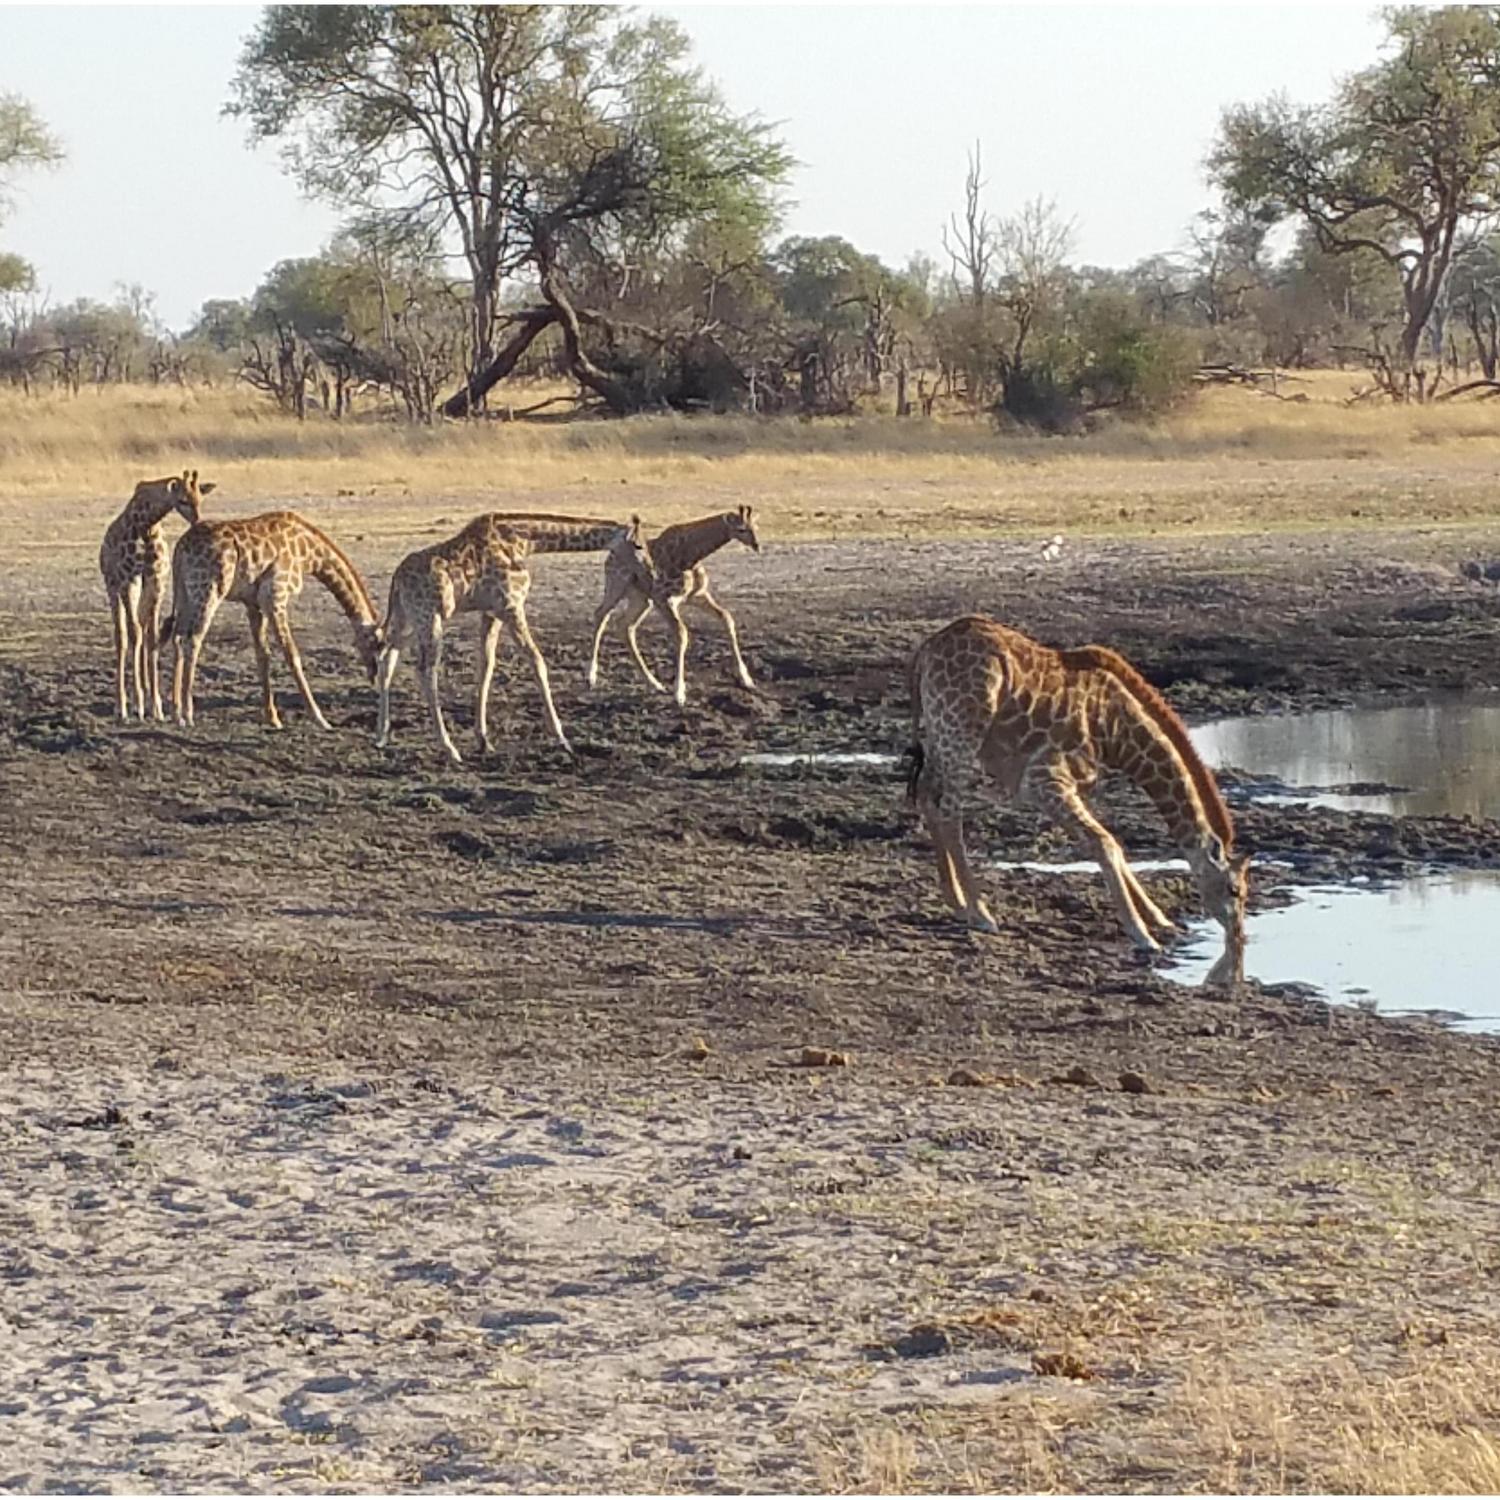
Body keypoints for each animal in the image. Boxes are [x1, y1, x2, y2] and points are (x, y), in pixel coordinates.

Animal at [98, 470, 215, 722]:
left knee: (142, 629)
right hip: (112, 586)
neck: (147, 524)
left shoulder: (156, 581)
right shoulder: (128, 580)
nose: (198, 521)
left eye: (200, 498)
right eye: (182, 500)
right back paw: (121, 706)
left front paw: (156, 707)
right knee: (122, 635)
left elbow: (150, 638)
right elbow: (133, 633)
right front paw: (139, 705)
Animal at [165, 511, 381, 730]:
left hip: (184, 593)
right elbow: (292, 655)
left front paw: (273, 718)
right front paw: (319, 718)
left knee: (178, 638)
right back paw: (188, 714)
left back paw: (176, 713)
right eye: (377, 645)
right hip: (209, 590)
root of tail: (181, 547)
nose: (376, 677)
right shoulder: (275, 596)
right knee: (194, 640)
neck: (308, 552)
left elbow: (263, 655)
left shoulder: (253, 604)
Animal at [375, 512, 644, 764]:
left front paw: (483, 739)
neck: (523, 542)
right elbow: (537, 661)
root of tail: (396, 579)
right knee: (425, 671)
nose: (647, 569)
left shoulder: (492, 612)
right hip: (430, 618)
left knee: (387, 657)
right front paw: (562, 738)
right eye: (639, 545)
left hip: (408, 619)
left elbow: (486, 666)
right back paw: (449, 748)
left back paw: (382, 735)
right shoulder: (512, 606)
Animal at [586, 505, 760, 706]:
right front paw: (679, 693)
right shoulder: (664, 599)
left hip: (641, 598)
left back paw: (654, 684)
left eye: (755, 527)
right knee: (600, 614)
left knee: (625, 626)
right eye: (741, 529)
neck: (690, 555)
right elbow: (681, 634)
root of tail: (610, 556)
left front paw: (746, 679)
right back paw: (591, 677)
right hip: (617, 585)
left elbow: (727, 618)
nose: (757, 545)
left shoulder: (697, 595)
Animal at [907, 616, 1248, 983]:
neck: (1115, 731)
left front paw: (1160, 920)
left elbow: (1112, 844)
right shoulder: (1045, 780)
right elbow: (1104, 843)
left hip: (942, 733)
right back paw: (979, 913)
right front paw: (1143, 935)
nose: (1239, 937)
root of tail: (925, 651)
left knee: (926, 794)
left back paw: (956, 902)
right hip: (964, 730)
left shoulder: (1068, 786)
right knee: (950, 812)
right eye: (1234, 890)